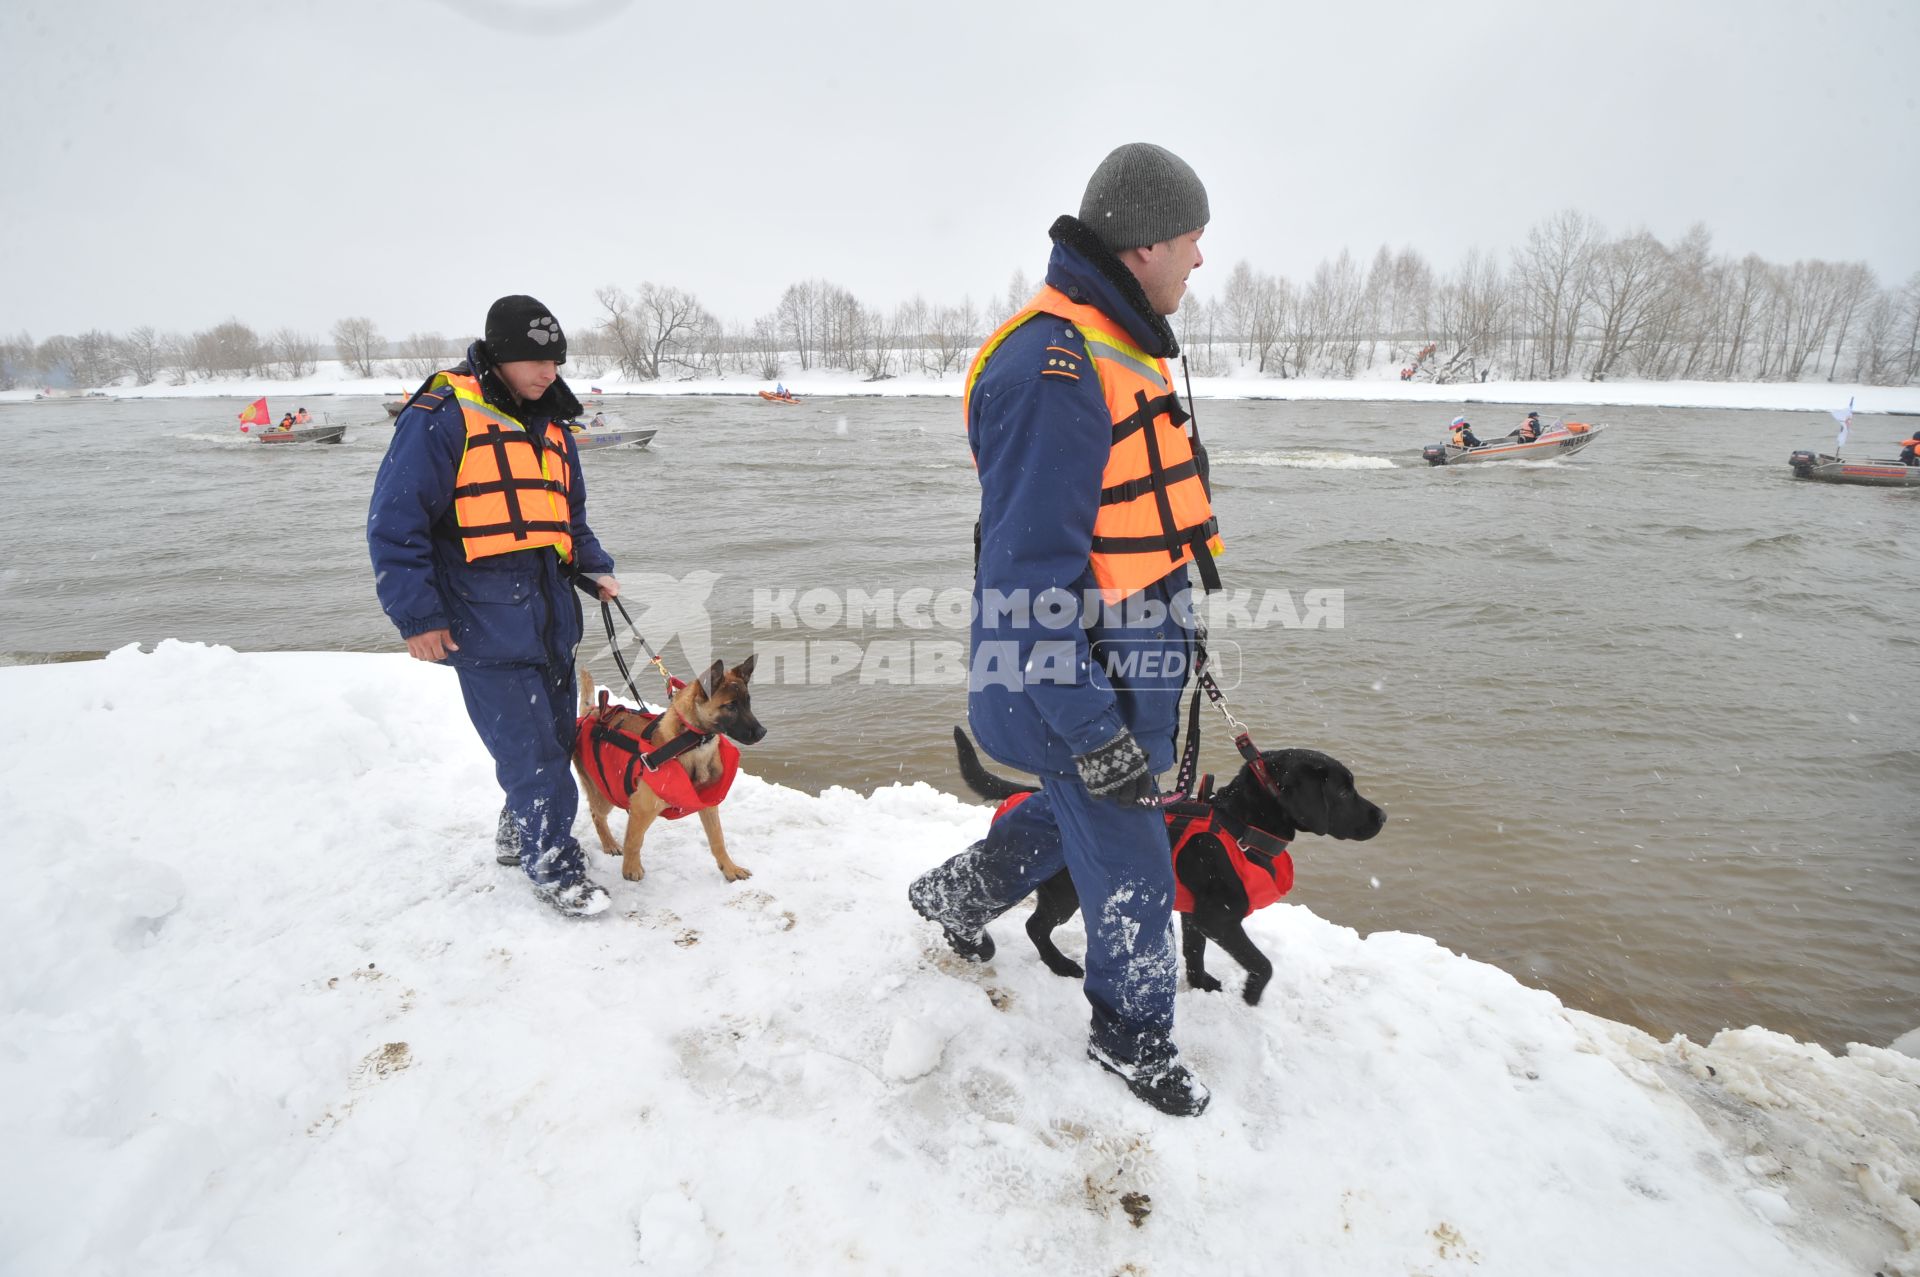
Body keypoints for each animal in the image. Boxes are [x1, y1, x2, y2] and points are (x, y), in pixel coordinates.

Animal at [572, 656, 768, 887]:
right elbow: (634, 840)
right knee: (597, 815)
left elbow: (717, 839)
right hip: (605, 794)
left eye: (748, 702)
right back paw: (610, 843)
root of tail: (591, 712)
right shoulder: (642, 806)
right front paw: (631, 869)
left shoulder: (708, 805)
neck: (693, 741)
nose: (762, 732)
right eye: (730, 706)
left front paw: (730, 869)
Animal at [956, 725, 1382, 1006]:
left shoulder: (1194, 914)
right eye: (1344, 791)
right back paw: (1059, 965)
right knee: (1035, 925)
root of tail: (1036, 796)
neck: (1240, 826)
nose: (1383, 817)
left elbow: (1194, 954)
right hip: (1063, 891)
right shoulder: (1219, 917)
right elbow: (1262, 962)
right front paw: (1251, 995)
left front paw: (1203, 985)